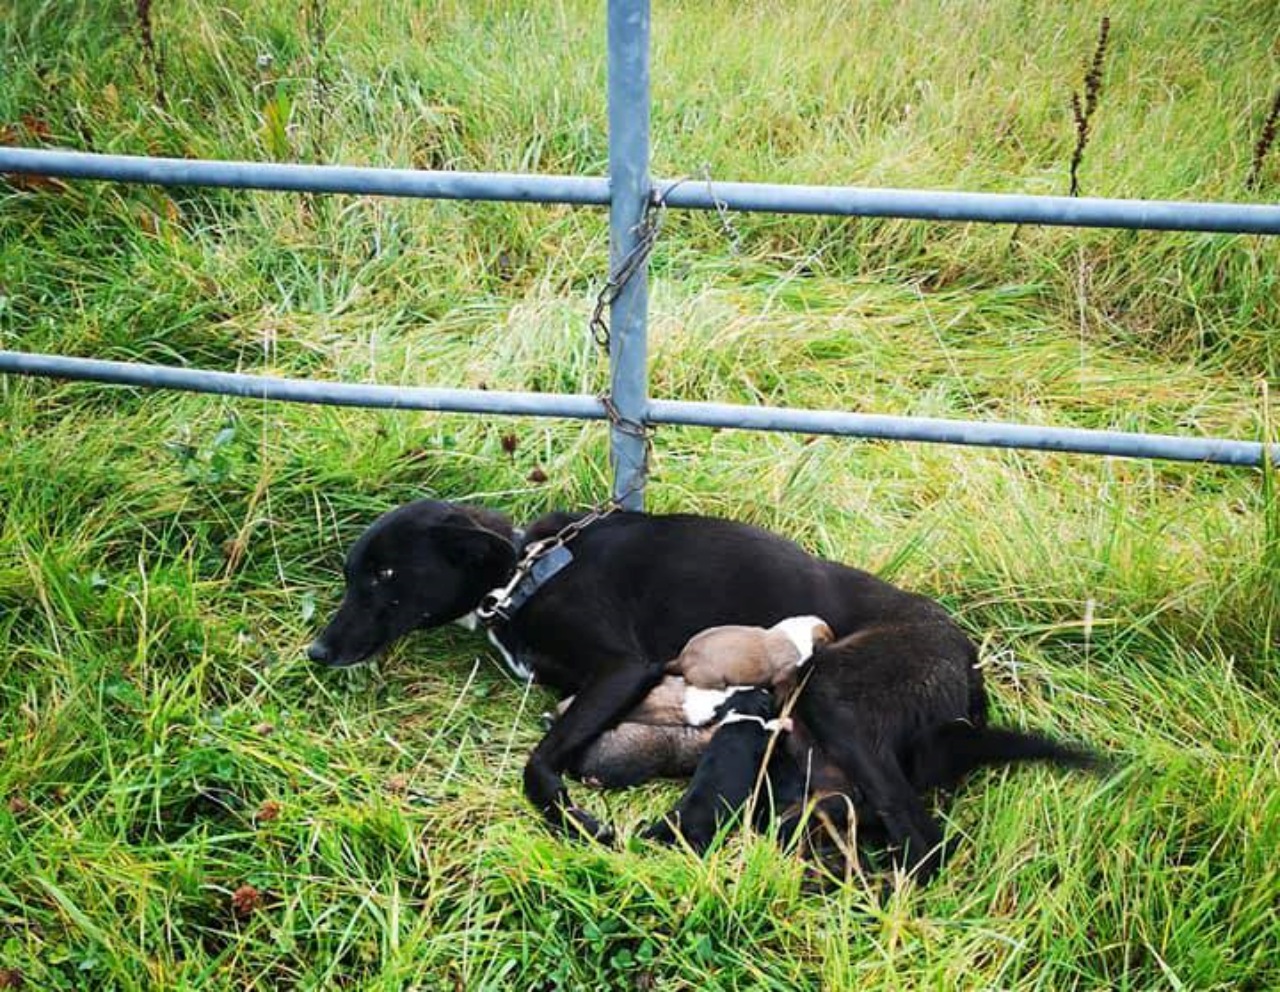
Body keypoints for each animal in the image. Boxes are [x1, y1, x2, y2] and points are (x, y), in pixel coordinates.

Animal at [309, 501, 1100, 880]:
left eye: (384, 576)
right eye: (354, 574)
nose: (316, 651)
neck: (526, 571)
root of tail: (968, 671)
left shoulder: (623, 668)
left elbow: (536, 765)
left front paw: (578, 821)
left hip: (834, 695)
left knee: (923, 844)